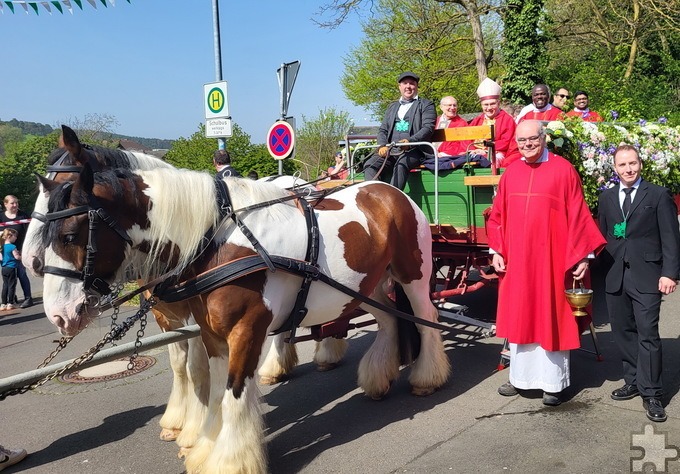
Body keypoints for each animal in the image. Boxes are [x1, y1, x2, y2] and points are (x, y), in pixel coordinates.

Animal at [37, 162, 452, 470]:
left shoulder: (246, 330)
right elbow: (216, 391)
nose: (59, 314)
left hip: (412, 275)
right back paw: (379, 377)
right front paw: (204, 447)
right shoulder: (210, 334)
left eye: (70, 235)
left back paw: (427, 377)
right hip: (367, 286)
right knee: (390, 321)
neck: (217, 241)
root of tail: (389, 191)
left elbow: (234, 395)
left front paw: (230, 461)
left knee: (426, 316)